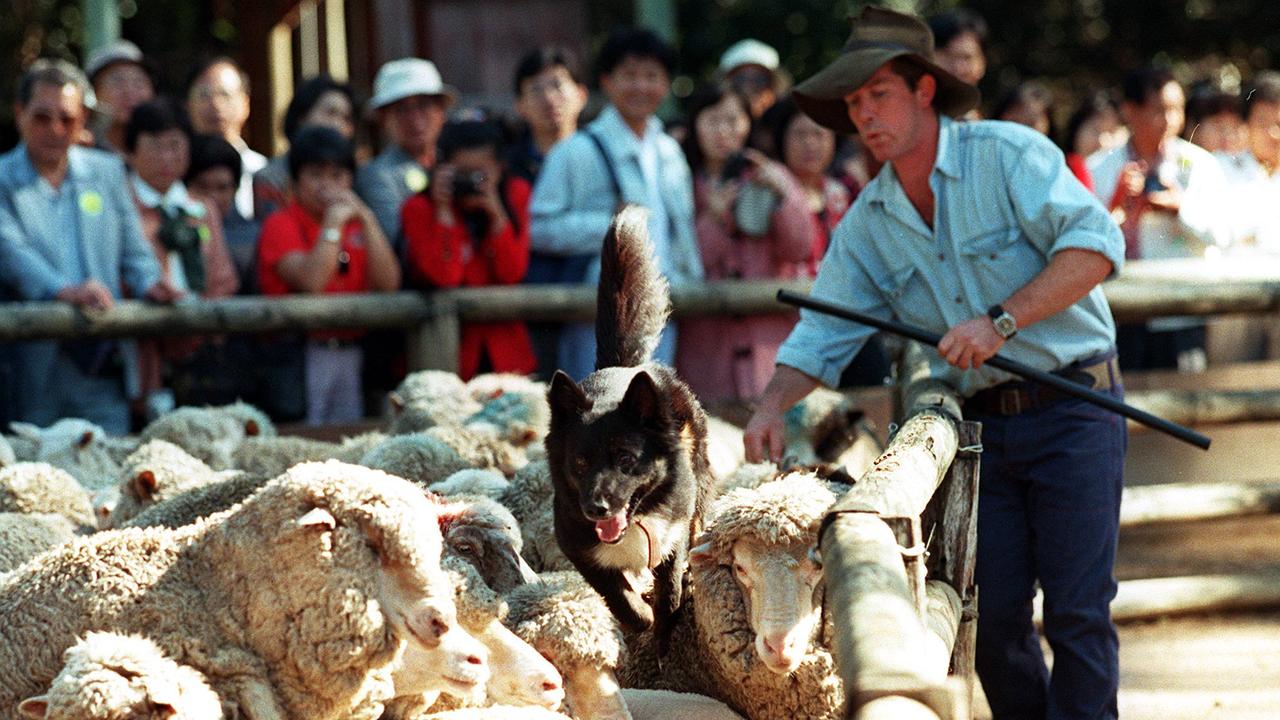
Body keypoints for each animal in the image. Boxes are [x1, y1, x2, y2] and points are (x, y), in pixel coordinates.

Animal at [545, 204, 716, 648]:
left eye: (625, 458)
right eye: (580, 463)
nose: (595, 508)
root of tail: (623, 367)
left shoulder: (673, 529)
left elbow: (670, 583)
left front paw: (665, 618)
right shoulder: (577, 544)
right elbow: (618, 596)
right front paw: (640, 616)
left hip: (700, 478)